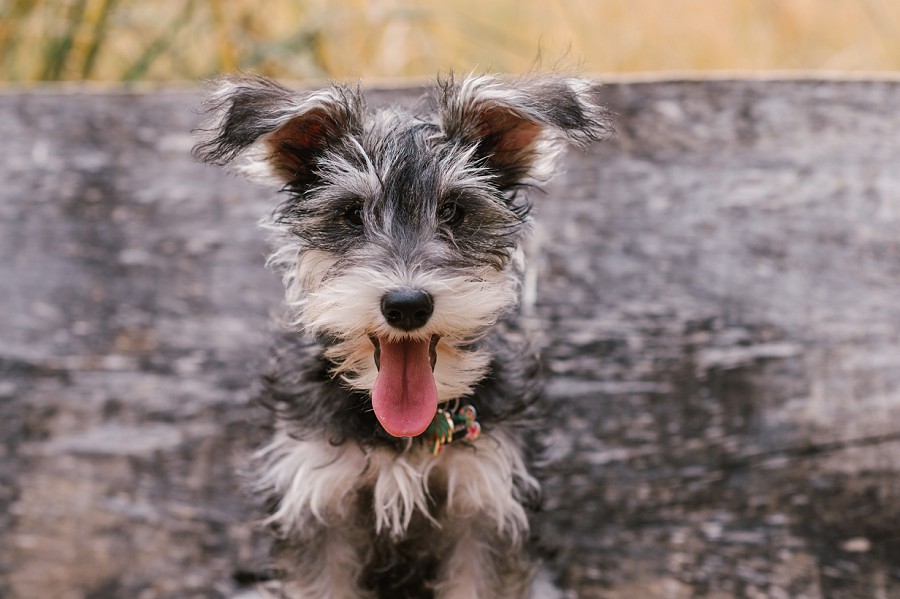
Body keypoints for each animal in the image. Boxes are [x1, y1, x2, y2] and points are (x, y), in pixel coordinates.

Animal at [191, 75, 612, 599]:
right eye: (351, 214)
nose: (407, 305)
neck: (400, 433)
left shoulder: (484, 508)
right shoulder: (317, 507)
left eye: (454, 210)